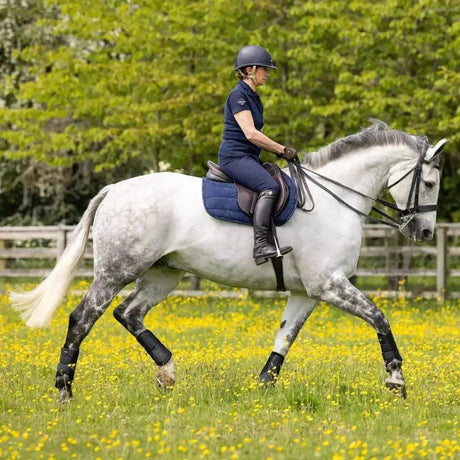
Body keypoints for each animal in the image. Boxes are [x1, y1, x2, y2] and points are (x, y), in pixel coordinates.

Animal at [9, 119, 446, 402]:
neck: (334, 201)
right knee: (82, 318)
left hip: (163, 274)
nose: (424, 232)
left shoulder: (308, 292)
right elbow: (379, 318)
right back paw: (64, 391)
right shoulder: (329, 284)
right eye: (428, 183)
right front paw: (396, 379)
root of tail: (114, 189)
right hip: (116, 270)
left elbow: (285, 337)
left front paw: (264, 386)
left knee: (129, 313)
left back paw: (166, 371)